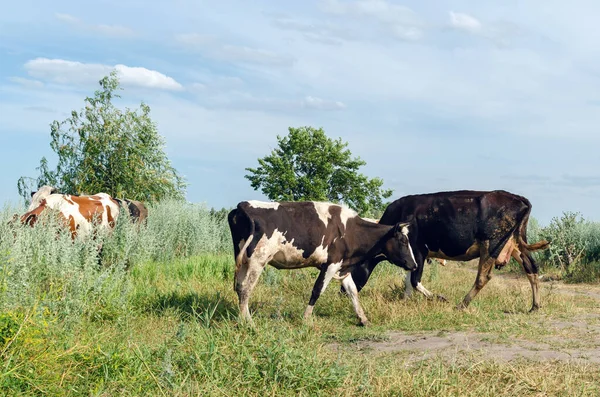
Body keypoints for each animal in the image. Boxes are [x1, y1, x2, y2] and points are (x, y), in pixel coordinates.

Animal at [227, 200, 420, 326]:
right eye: (403, 241)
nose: (414, 265)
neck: (350, 231)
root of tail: (244, 205)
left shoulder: (342, 266)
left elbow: (352, 291)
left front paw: (363, 318)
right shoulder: (331, 264)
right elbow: (317, 290)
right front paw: (306, 319)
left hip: (244, 261)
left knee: (239, 287)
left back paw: (242, 318)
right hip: (257, 261)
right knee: (246, 289)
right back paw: (248, 321)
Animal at [346, 190, 548, 310]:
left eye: (351, 269)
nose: (342, 292)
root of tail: (518, 198)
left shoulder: (418, 250)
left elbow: (415, 280)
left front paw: (440, 298)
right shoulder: (411, 255)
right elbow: (408, 279)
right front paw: (405, 300)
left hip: (491, 243)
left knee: (483, 277)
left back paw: (462, 304)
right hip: (515, 244)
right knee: (531, 268)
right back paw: (535, 306)